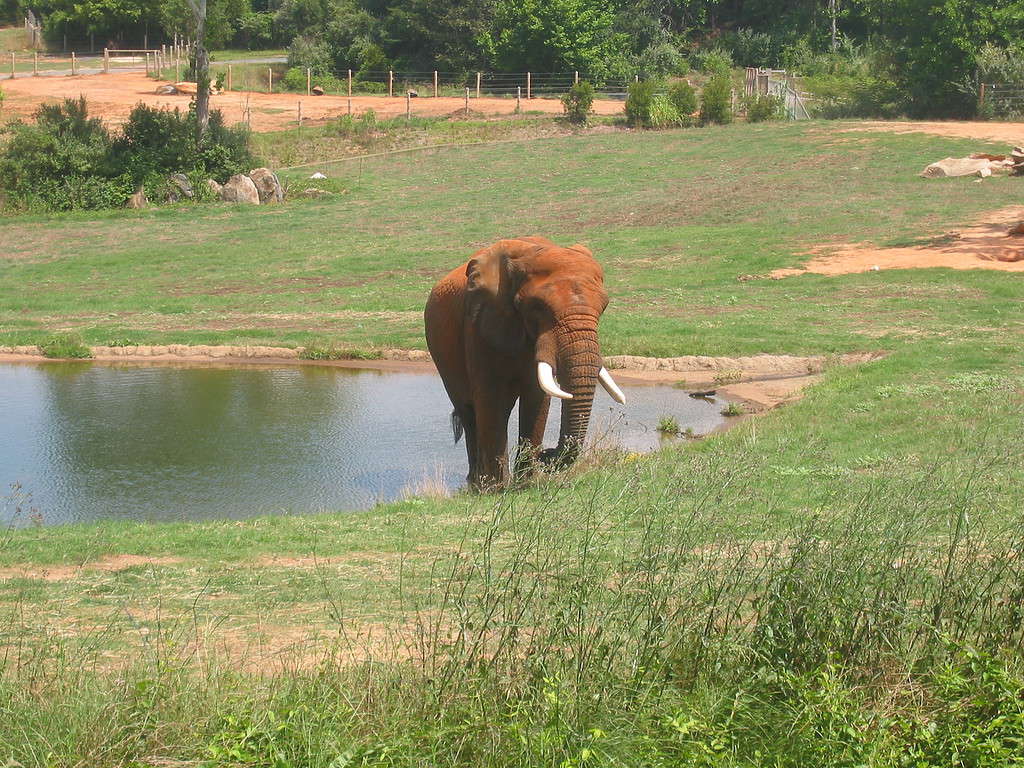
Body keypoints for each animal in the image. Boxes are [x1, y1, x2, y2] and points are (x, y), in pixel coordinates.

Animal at [421, 234, 622, 489]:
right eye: (538, 307)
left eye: (603, 307)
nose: (547, 455)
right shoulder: (479, 322)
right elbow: (490, 395)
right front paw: (496, 489)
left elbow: (538, 395)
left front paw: (526, 484)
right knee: (470, 413)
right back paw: (476, 484)